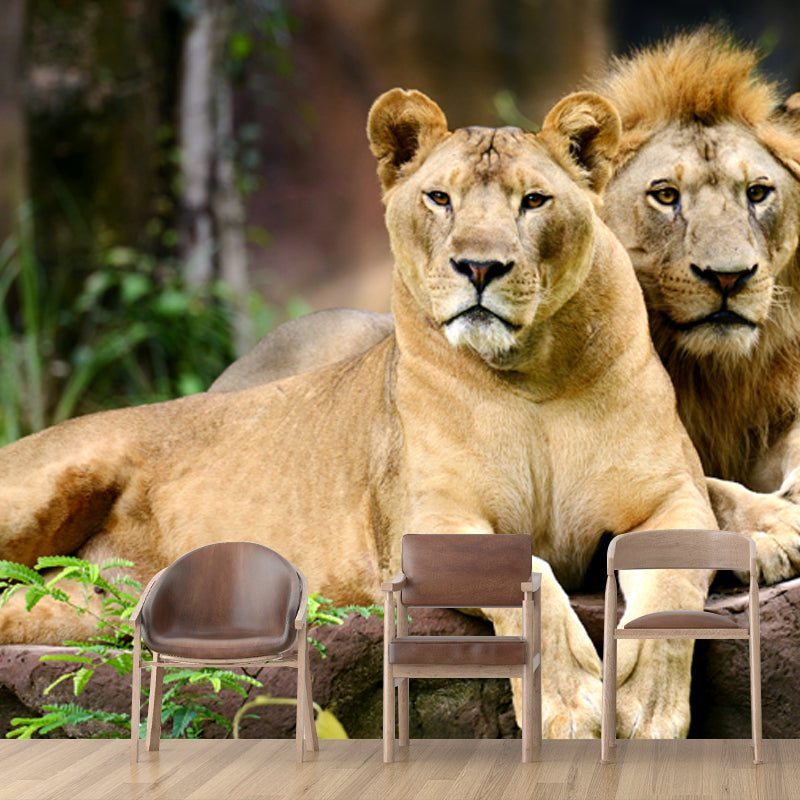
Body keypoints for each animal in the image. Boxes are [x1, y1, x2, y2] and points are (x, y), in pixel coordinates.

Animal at [0, 88, 717, 739]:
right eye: (440, 199)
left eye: (534, 201)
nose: (480, 266)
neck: (535, 373)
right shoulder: (427, 520)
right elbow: (529, 576)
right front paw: (572, 706)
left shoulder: (675, 495)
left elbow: (674, 590)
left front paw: (648, 710)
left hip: (79, 609)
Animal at [230, 30, 800, 587]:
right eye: (665, 195)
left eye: (758, 193)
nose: (728, 276)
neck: (708, 372)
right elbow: (711, 484)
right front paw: (773, 532)